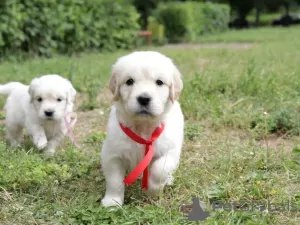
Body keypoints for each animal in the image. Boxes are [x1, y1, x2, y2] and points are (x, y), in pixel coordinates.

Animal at [101, 51, 184, 207]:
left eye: (159, 82)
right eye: (129, 81)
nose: (144, 99)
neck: (143, 127)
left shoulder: (170, 150)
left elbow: (159, 169)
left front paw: (152, 189)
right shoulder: (112, 154)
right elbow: (115, 181)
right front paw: (112, 202)